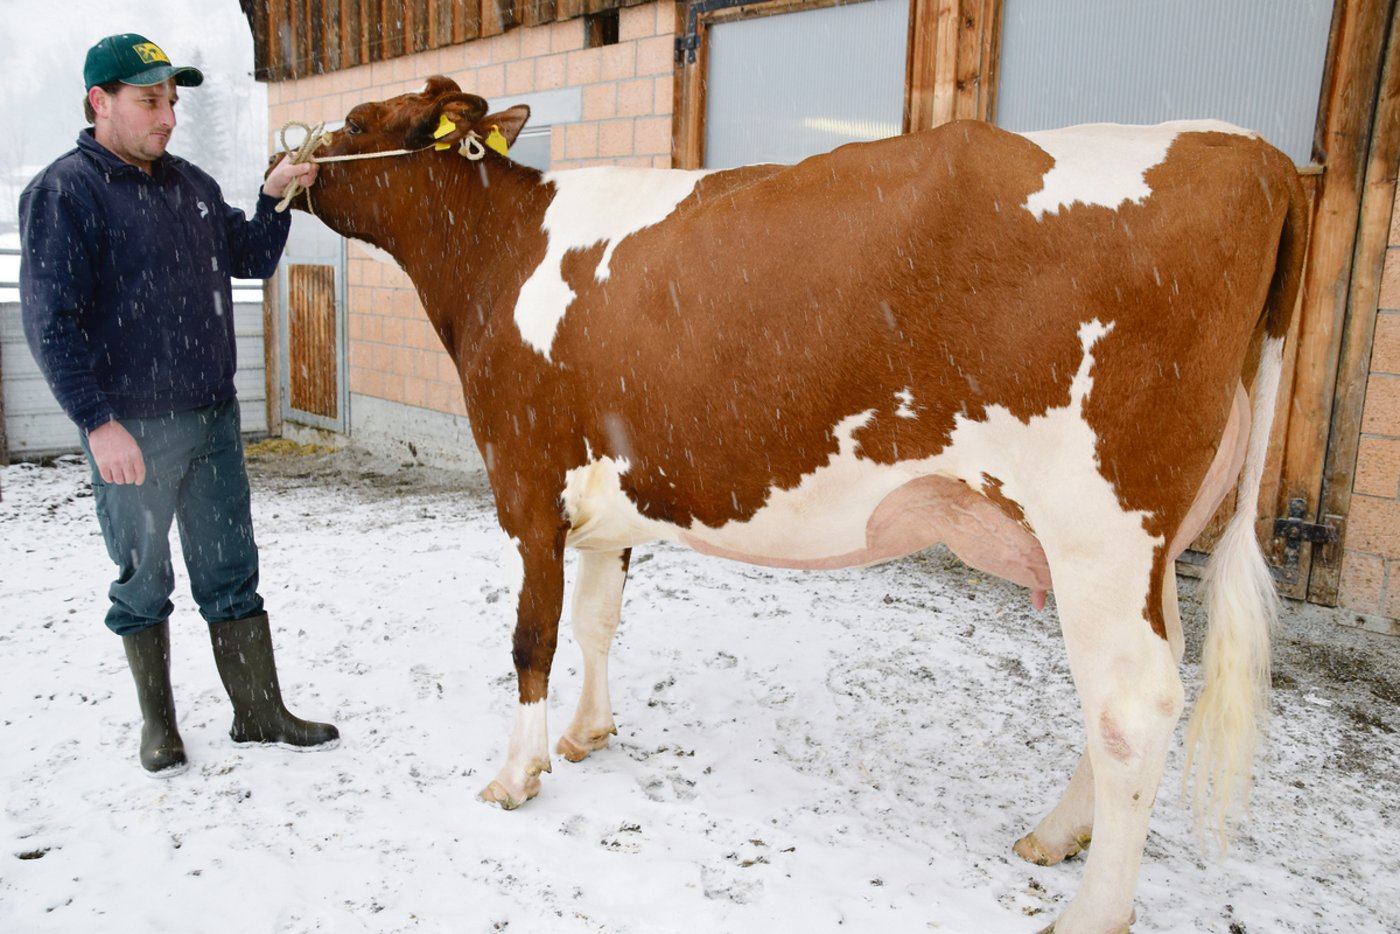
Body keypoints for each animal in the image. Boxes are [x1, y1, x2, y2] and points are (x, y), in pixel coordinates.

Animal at [279, 76, 1308, 933]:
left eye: (361, 122)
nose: (283, 166)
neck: (503, 253)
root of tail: (1256, 153)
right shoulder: (604, 499)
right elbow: (598, 617)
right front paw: (586, 734)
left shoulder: (525, 481)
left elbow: (532, 636)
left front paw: (513, 773)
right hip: (1152, 545)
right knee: (1140, 688)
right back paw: (1057, 835)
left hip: (1100, 525)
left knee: (1132, 704)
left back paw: (1090, 913)